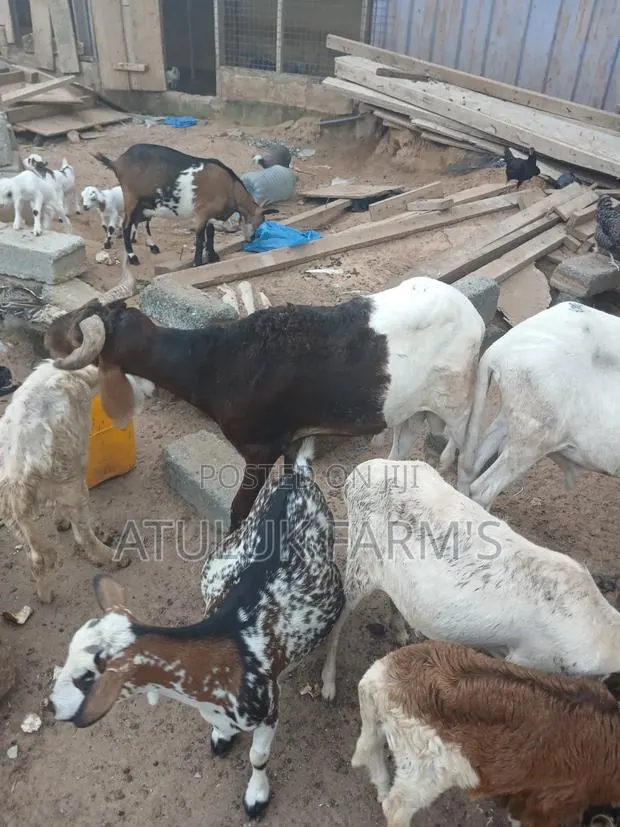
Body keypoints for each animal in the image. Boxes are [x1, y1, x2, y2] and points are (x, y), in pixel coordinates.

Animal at [43, 275, 486, 533]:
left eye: (80, 328)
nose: (49, 331)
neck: (214, 361)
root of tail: (475, 317)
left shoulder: (260, 447)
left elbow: (239, 510)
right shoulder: (291, 440)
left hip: (459, 400)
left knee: (467, 458)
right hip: (410, 402)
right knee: (407, 435)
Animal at [48, 438, 345, 818]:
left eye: (87, 677)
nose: (51, 706)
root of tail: (298, 475)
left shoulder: (268, 710)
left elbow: (258, 756)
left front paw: (257, 796)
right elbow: (217, 726)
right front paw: (222, 738)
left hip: (332, 584)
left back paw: (328, 682)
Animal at [93, 143, 279, 266]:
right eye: (259, 223)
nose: (251, 239)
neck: (230, 187)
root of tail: (118, 162)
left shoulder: (210, 216)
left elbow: (210, 234)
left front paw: (212, 256)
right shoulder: (202, 213)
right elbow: (200, 238)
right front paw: (198, 262)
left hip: (145, 204)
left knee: (138, 222)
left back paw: (152, 246)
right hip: (131, 197)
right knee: (126, 225)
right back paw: (132, 257)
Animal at [320, 457, 620, 703]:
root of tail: (360, 471)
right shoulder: (531, 658)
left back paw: (401, 632)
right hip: (360, 563)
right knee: (340, 615)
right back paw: (328, 683)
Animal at [351, 639, 620, 827]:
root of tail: (380, 678)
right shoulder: (557, 798)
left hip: (382, 729)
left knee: (371, 751)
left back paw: (382, 788)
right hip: (424, 773)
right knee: (396, 807)